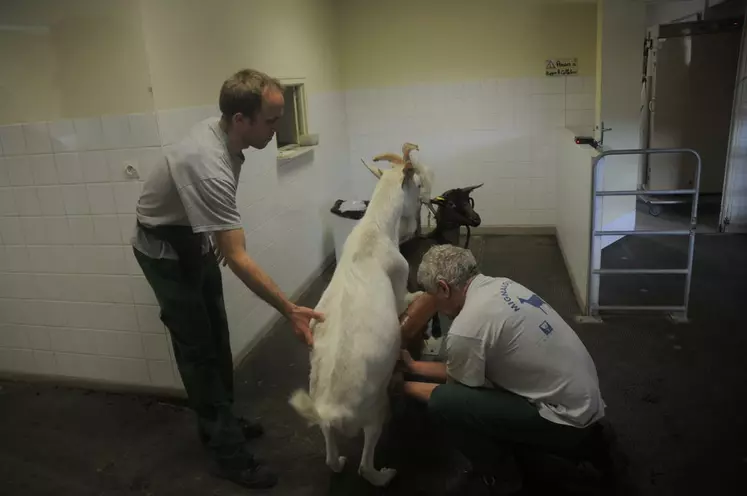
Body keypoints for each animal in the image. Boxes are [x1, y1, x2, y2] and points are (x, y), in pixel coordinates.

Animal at [292, 141, 432, 486]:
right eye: (416, 181)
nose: (424, 200)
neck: (375, 229)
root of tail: (331, 410)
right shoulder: (399, 281)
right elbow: (408, 298)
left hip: (326, 422)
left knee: (331, 457)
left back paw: (339, 459)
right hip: (374, 413)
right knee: (366, 465)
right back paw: (385, 474)